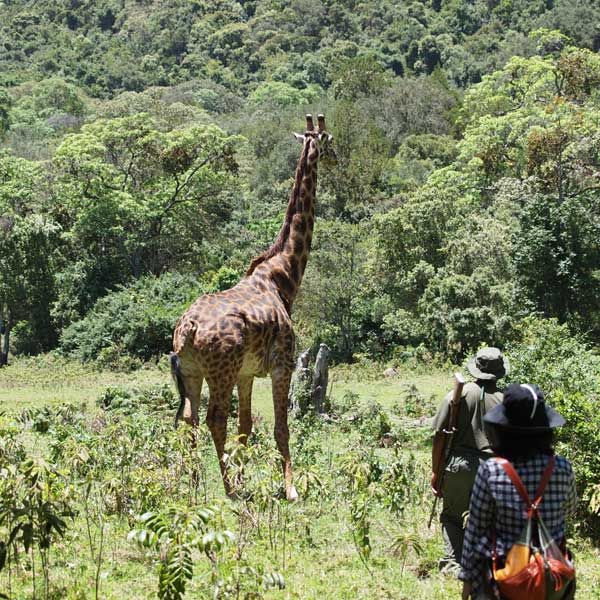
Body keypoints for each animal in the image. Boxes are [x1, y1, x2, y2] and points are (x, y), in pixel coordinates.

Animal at [171, 112, 336, 502]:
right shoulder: (283, 364)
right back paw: (227, 488)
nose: (337, 160)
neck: (283, 277)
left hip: (193, 372)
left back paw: (193, 485)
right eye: (331, 144)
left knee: (190, 419)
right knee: (214, 418)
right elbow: (280, 427)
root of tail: (187, 329)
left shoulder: (247, 373)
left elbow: (246, 425)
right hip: (221, 371)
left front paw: (247, 477)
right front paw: (289, 488)